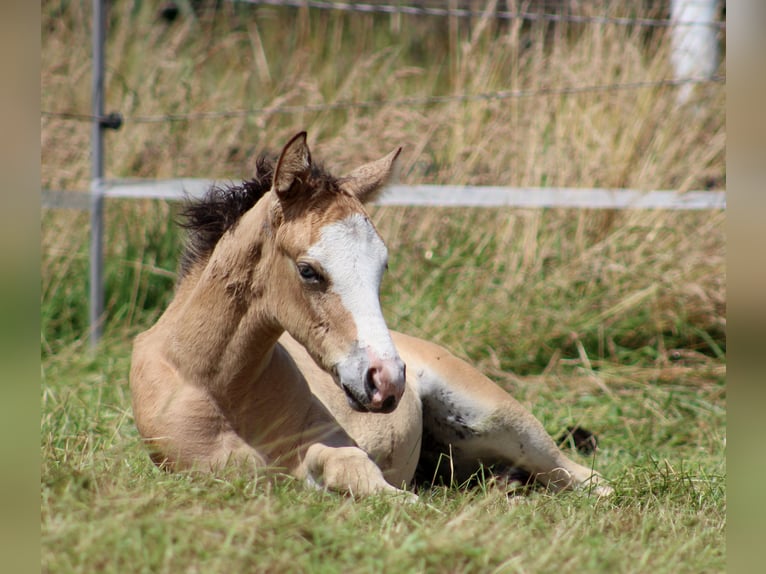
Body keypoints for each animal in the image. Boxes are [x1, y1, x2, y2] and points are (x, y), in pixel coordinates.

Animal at [130, 132, 612, 500]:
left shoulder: (335, 443)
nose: (387, 380)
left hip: (500, 420)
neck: (214, 383)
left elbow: (359, 474)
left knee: (586, 478)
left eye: (383, 266)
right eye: (308, 270)